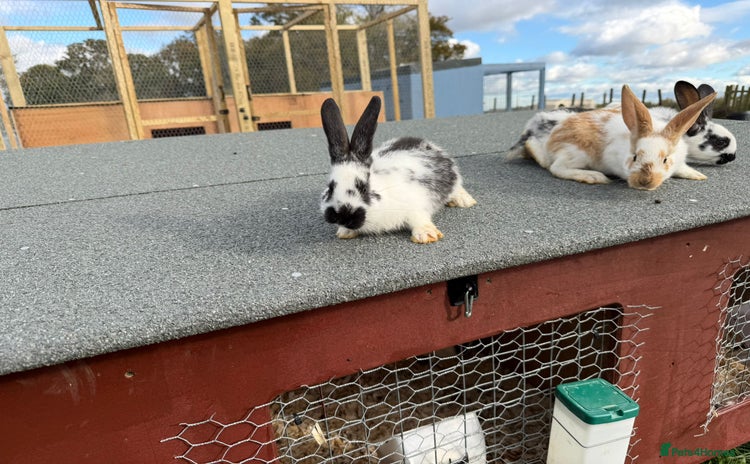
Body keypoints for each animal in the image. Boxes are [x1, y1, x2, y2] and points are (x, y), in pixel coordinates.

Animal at [320, 96, 476, 244]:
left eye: (364, 188)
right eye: (330, 188)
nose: (343, 216)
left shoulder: (415, 204)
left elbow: (419, 218)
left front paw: (426, 235)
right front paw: (344, 232)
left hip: (453, 179)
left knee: (457, 188)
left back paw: (464, 201)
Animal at [517, 84, 716, 190]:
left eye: (665, 159)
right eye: (634, 157)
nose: (644, 182)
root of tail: (552, 140)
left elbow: (682, 168)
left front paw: (698, 175)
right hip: (576, 154)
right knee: (556, 167)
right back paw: (594, 177)